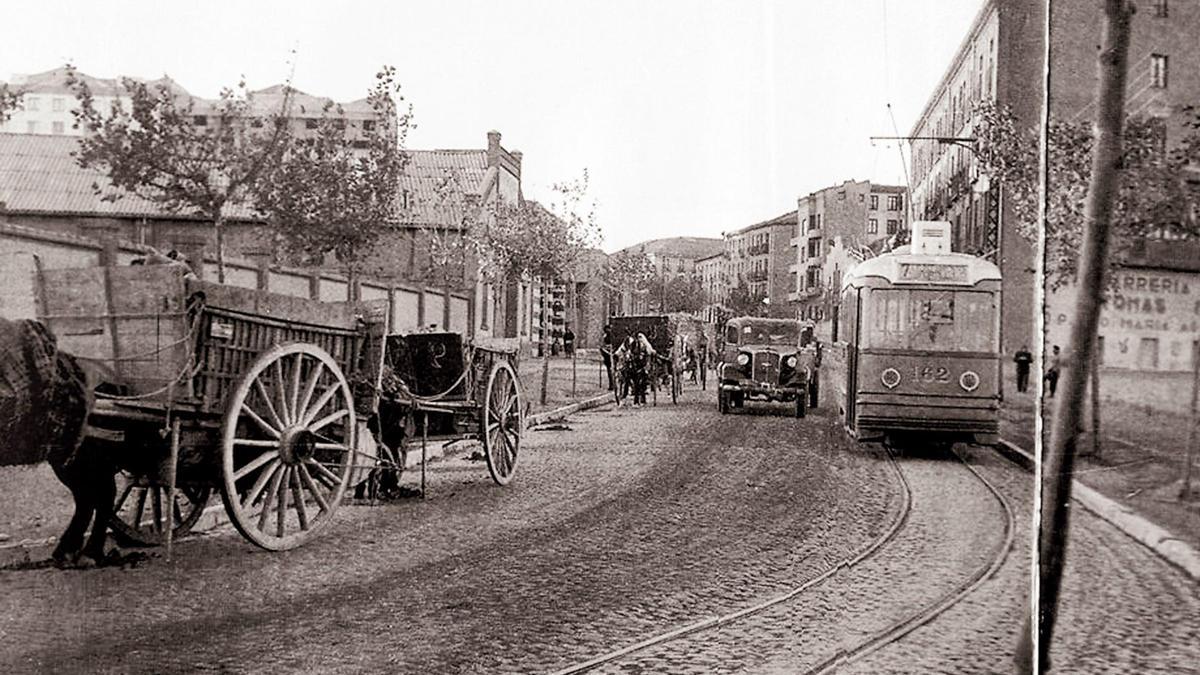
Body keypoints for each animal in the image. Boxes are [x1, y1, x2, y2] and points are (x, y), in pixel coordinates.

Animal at [1, 314, 114, 562]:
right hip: (70, 460)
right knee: (88, 498)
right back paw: (69, 550)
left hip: (85, 458)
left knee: (101, 495)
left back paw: (89, 552)